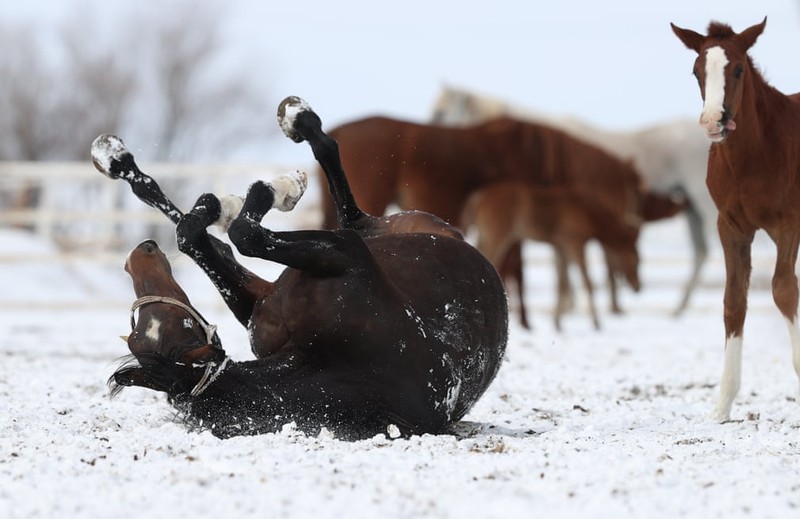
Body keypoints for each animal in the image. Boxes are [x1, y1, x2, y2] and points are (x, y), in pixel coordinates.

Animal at [95, 96, 506, 438]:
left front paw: (260, 192)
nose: (140, 255)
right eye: (137, 333)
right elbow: (238, 235)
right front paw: (254, 195)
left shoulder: (341, 253)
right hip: (322, 262)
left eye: (178, 322)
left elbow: (234, 234)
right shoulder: (331, 260)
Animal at [672, 18, 800, 420]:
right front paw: (722, 407)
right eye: (696, 70)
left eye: (739, 68)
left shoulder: (788, 224)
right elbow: (733, 301)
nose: (713, 121)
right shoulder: (730, 226)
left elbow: (783, 289)